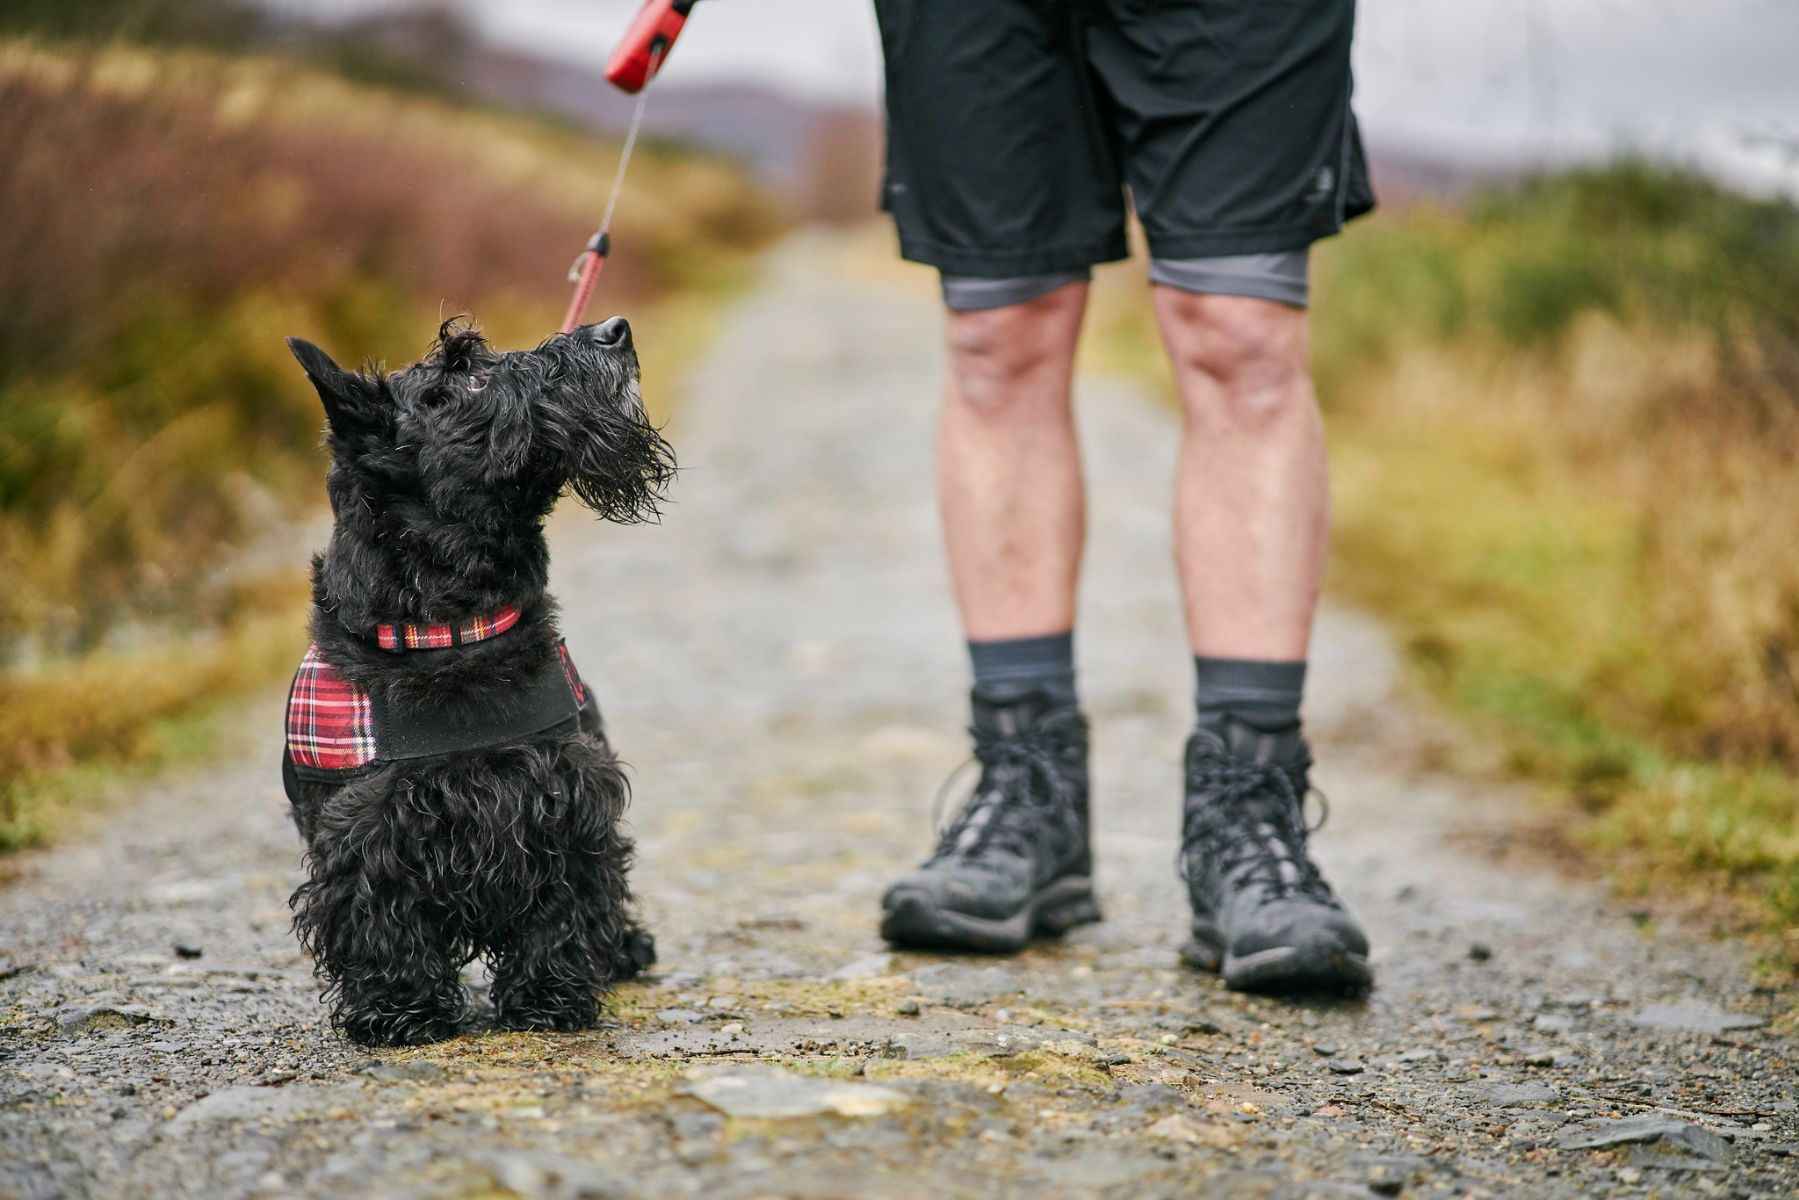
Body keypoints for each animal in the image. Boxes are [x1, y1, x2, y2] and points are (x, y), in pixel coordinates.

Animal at [277, 314, 672, 1043]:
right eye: (462, 379)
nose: (613, 329)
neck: (452, 631)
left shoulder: (567, 792)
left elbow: (566, 900)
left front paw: (549, 997)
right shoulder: (365, 825)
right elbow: (377, 916)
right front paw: (399, 1010)